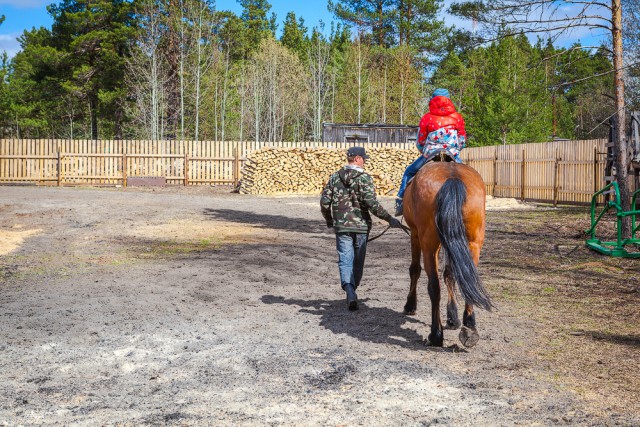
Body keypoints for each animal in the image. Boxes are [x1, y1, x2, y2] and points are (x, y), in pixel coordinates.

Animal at [402, 160, 492, 348]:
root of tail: (452, 177)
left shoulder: (414, 233)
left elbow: (415, 269)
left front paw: (410, 305)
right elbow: (450, 275)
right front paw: (453, 318)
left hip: (428, 243)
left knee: (434, 286)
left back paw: (436, 335)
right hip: (474, 243)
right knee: (467, 281)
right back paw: (470, 327)